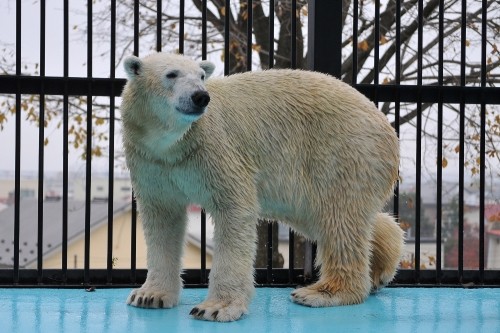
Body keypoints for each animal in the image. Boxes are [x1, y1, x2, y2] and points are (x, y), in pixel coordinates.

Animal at [122, 52, 406, 322]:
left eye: (201, 76)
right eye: (171, 74)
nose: (200, 97)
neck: (172, 144)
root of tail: (385, 124)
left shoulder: (213, 150)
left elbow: (234, 209)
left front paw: (216, 308)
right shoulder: (151, 162)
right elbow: (162, 221)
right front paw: (150, 295)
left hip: (343, 152)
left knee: (338, 219)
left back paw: (323, 292)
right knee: (331, 219)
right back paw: (379, 271)